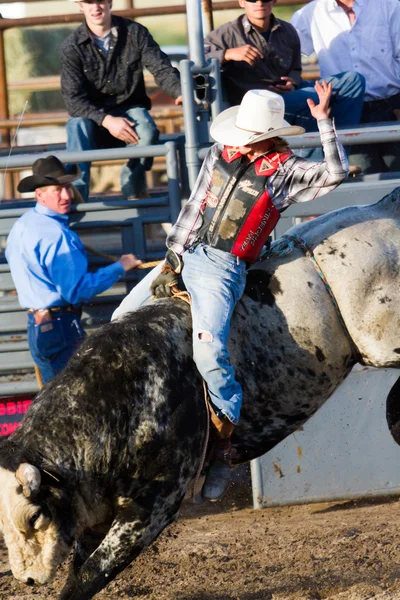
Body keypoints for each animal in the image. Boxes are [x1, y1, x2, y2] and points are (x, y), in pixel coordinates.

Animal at [0, 189, 400, 600]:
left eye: (35, 515)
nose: (27, 579)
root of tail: (383, 207)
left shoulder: (154, 505)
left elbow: (92, 572)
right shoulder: (93, 509)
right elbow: (81, 567)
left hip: (382, 342)